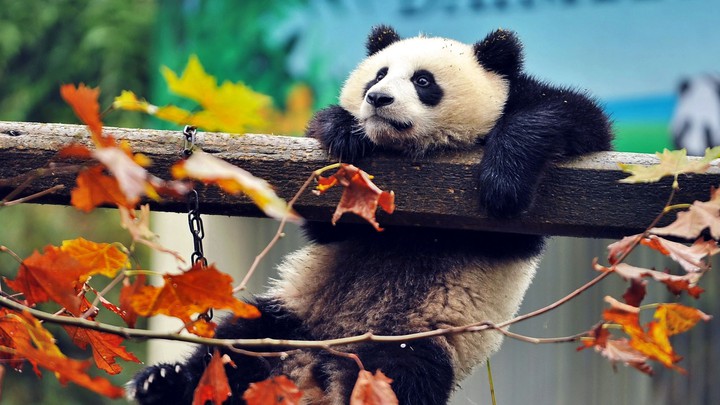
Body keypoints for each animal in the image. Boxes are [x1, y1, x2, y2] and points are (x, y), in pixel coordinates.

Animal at [129, 25, 612, 404]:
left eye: (423, 80)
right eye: (377, 75)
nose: (378, 98)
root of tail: (316, 367)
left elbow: (570, 119)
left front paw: (504, 179)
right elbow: (328, 223)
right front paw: (344, 131)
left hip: (418, 340)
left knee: (401, 376)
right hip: (294, 315)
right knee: (237, 346)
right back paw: (163, 382)